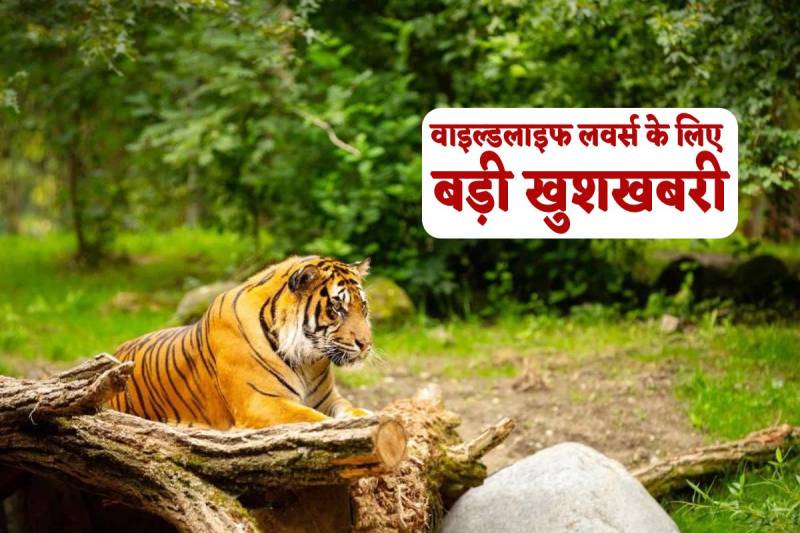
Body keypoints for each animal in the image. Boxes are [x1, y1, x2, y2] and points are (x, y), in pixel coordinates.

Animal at [107, 255, 374, 429]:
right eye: (338, 308)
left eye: (363, 307)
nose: (366, 344)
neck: (307, 361)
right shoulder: (261, 403)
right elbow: (313, 419)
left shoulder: (328, 399)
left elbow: (351, 409)